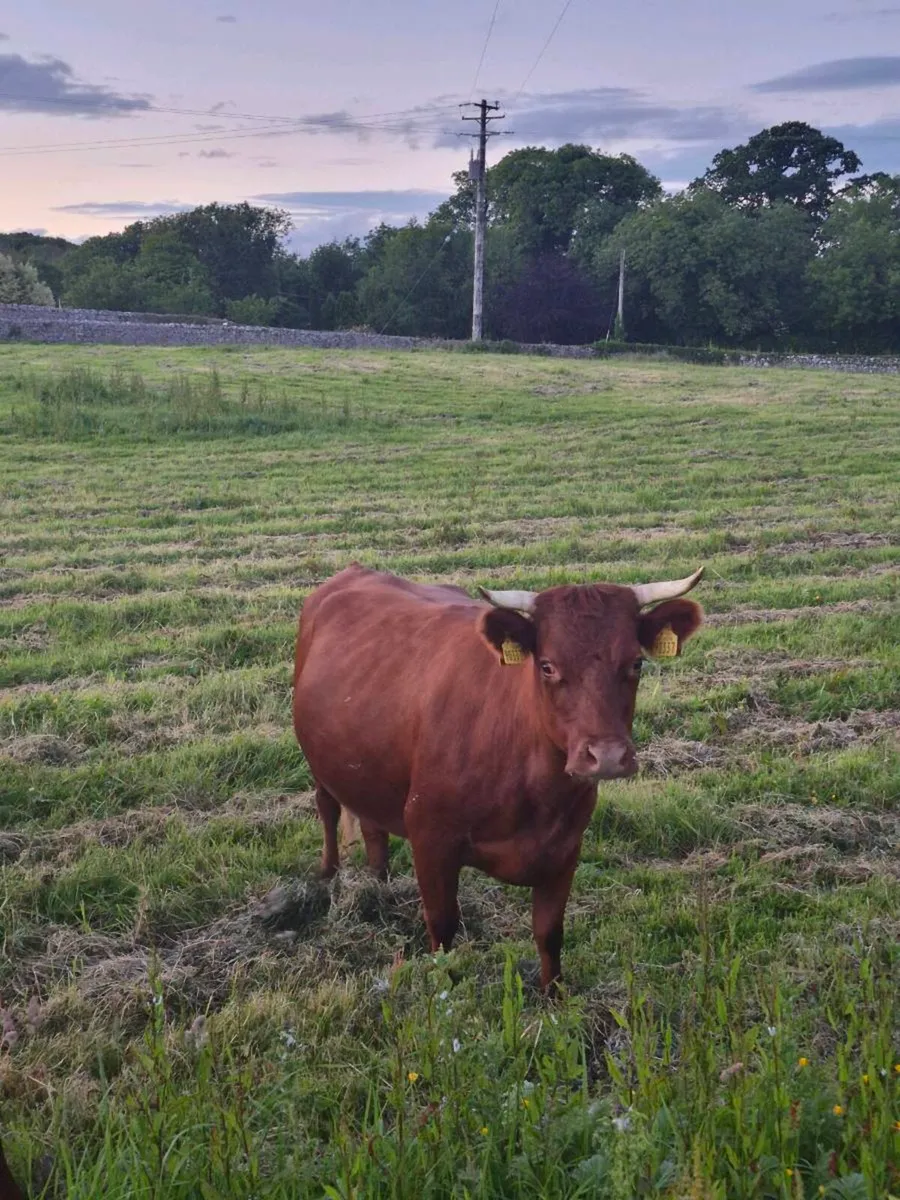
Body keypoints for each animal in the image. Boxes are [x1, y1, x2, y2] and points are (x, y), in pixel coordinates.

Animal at [292, 563, 704, 991]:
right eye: (547, 665)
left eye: (636, 663)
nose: (606, 756)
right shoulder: (430, 839)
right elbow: (443, 929)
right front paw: (446, 989)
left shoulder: (565, 850)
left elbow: (549, 933)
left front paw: (554, 995)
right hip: (318, 761)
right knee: (327, 809)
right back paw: (327, 877)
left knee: (373, 828)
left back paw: (379, 884)